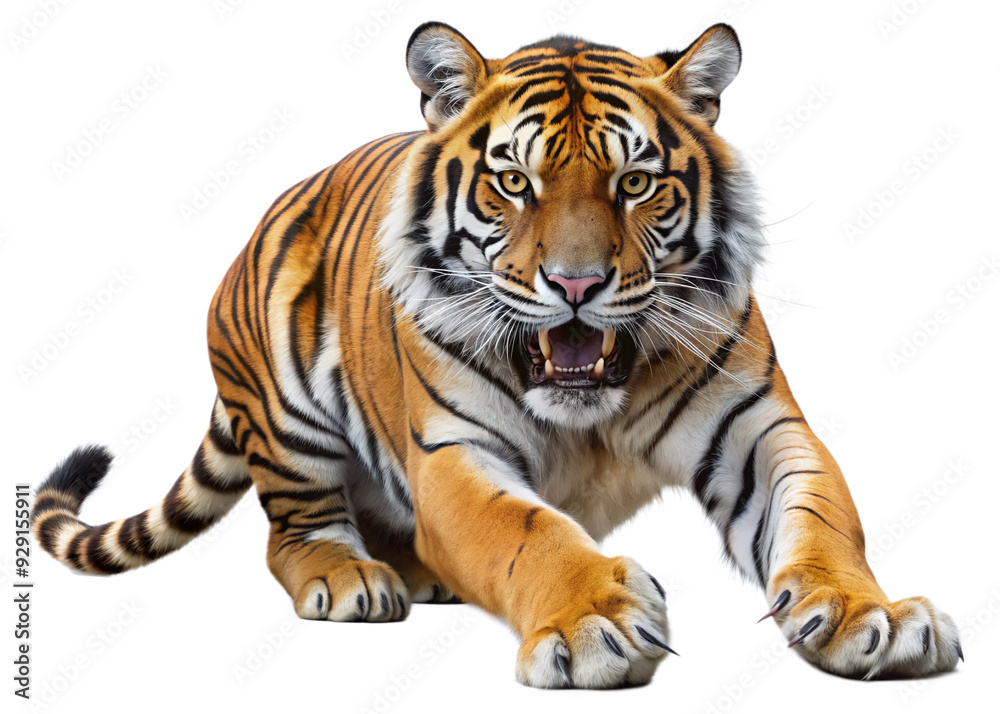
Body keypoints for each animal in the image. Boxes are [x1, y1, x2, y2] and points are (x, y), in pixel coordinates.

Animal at [31, 22, 962, 688]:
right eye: (515, 182)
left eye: (635, 183)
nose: (577, 283)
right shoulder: (453, 453)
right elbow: (528, 531)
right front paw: (597, 622)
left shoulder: (761, 429)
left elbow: (823, 519)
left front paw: (874, 617)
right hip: (286, 411)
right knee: (291, 534)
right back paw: (354, 577)